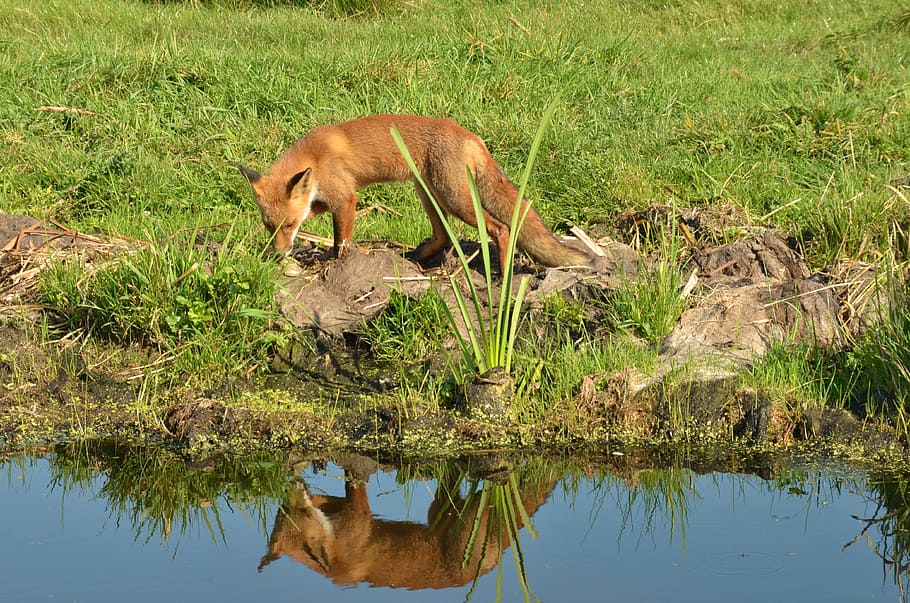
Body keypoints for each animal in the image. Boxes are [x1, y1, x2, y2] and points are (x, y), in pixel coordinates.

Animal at [237, 114, 590, 274]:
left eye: (287, 226)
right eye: (269, 227)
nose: (278, 254)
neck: (315, 155)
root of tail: (471, 136)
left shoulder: (346, 197)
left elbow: (342, 239)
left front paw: (341, 260)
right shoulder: (325, 198)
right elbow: (320, 217)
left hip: (455, 199)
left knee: (501, 228)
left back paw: (502, 275)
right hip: (428, 194)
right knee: (443, 236)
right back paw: (414, 259)